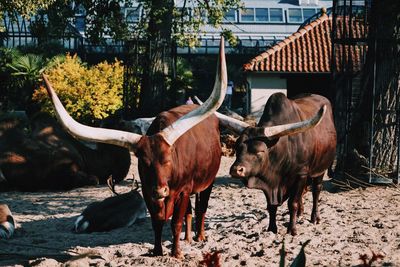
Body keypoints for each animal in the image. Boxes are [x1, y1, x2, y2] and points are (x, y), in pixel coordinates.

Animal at [43, 37, 228, 260]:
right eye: (144, 162)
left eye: (168, 159)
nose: (161, 189)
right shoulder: (149, 193)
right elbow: (157, 223)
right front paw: (157, 251)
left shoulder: (182, 190)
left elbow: (175, 222)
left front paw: (176, 254)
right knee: (191, 212)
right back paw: (188, 239)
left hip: (208, 181)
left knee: (201, 208)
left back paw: (199, 237)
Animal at [208, 93, 336, 236]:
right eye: (237, 147)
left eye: (260, 150)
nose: (236, 170)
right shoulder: (268, 183)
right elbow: (271, 206)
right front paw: (272, 228)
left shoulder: (301, 174)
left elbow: (292, 203)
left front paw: (292, 229)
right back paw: (300, 213)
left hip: (320, 169)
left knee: (316, 190)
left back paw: (315, 217)